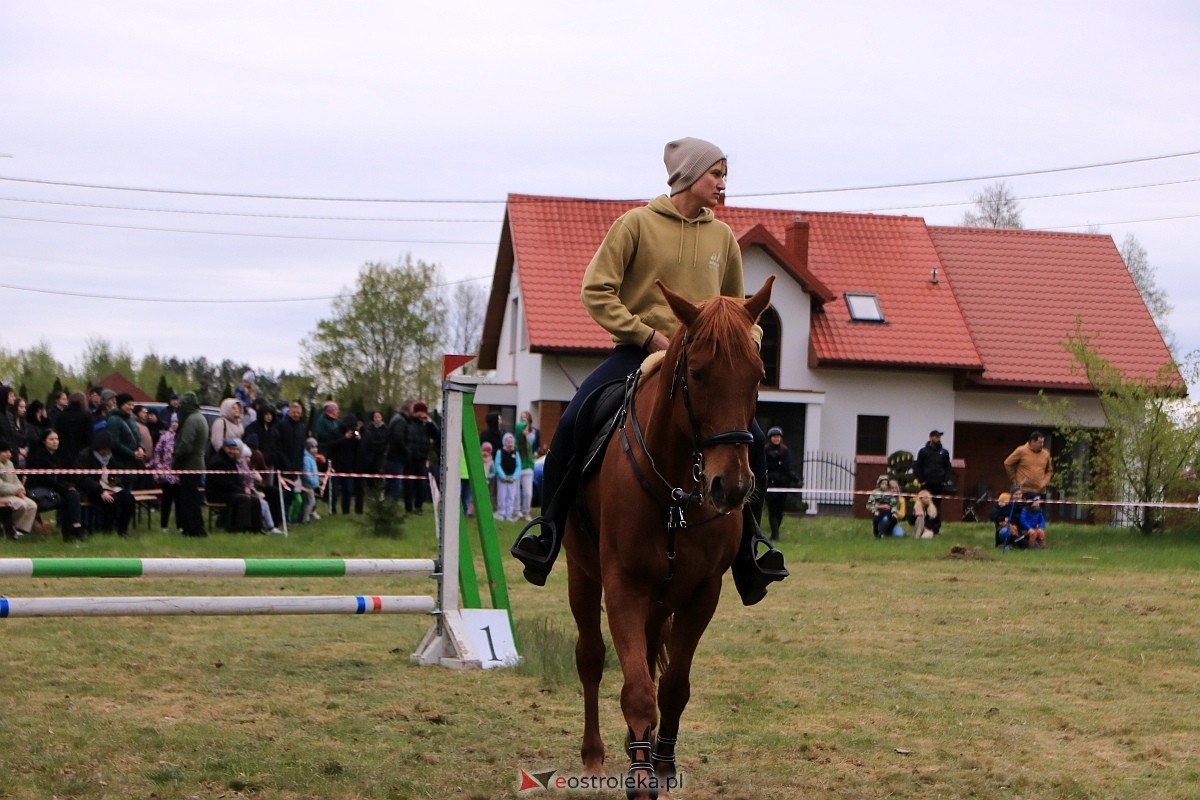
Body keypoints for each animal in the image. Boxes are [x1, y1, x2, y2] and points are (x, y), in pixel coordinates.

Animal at [564, 278, 772, 796]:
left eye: (758, 375)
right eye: (696, 374)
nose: (730, 486)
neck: (677, 490)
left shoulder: (702, 593)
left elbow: (674, 687)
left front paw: (662, 764)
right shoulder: (624, 586)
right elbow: (637, 688)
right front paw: (640, 777)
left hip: (662, 600)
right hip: (582, 576)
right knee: (591, 658)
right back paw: (594, 757)